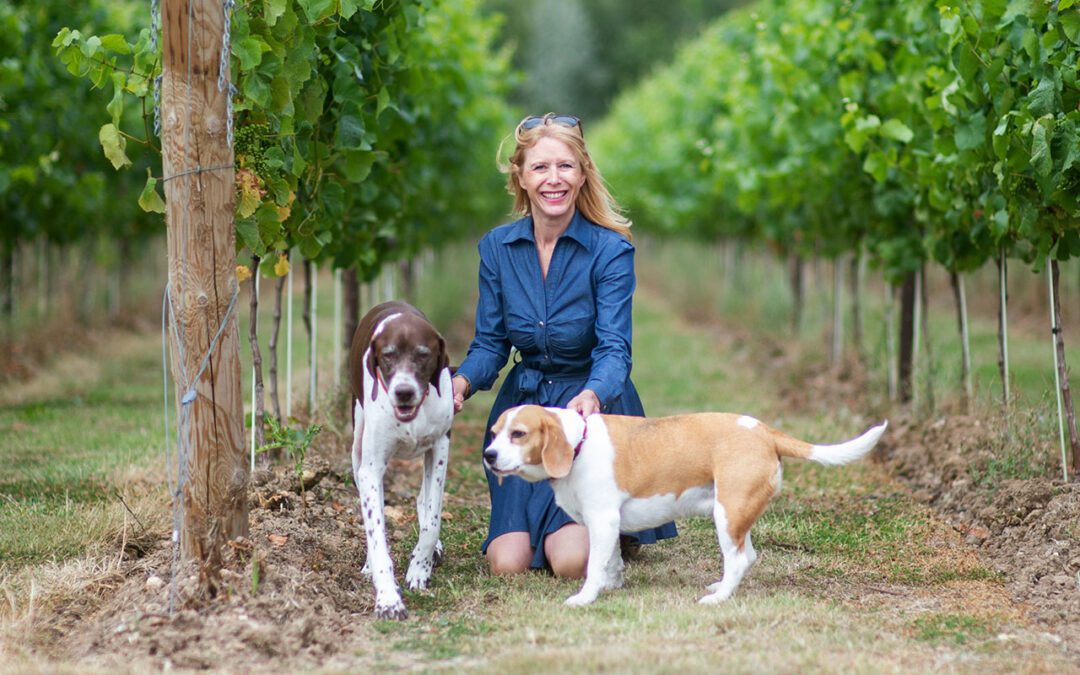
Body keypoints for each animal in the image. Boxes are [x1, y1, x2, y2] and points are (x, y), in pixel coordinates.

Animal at [349, 302, 451, 617]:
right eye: (389, 355)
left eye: (423, 354)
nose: (403, 392)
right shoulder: (371, 469)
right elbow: (377, 533)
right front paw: (388, 599)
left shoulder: (440, 448)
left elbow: (432, 520)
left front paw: (420, 567)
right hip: (357, 448)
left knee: (423, 500)